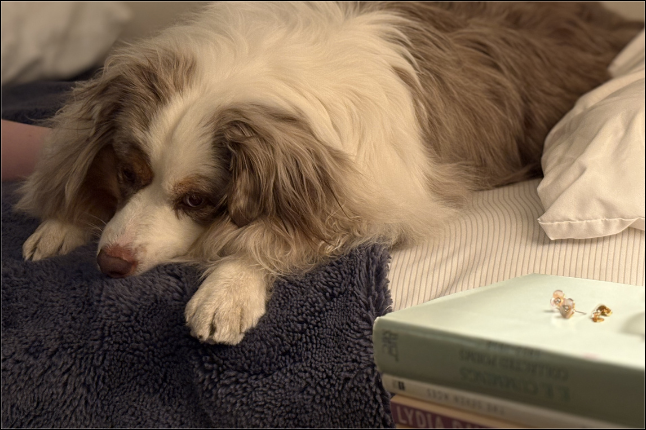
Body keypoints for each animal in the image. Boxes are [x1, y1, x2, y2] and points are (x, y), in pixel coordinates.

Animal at [17, 2, 641, 344]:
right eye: (128, 172)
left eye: (196, 201)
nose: (110, 264)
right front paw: (62, 223)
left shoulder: (373, 202)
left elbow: (270, 238)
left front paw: (226, 291)